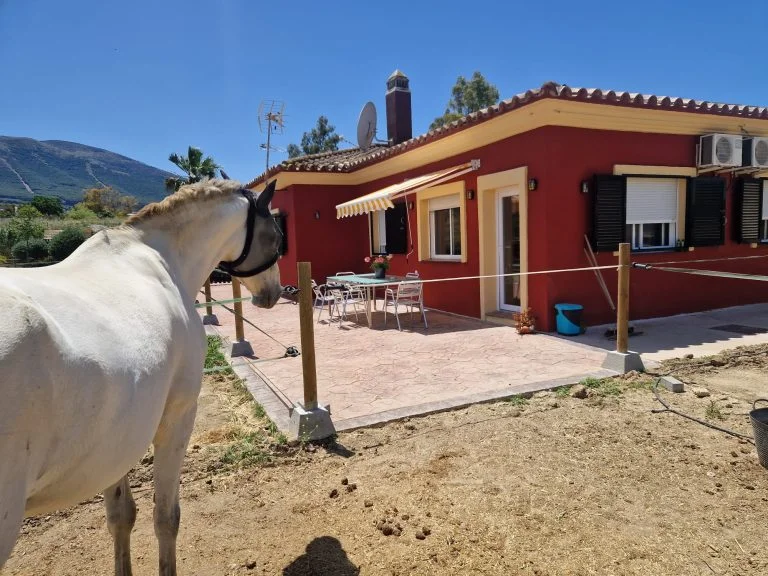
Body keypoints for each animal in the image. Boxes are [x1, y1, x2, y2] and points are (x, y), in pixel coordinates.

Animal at [0, 178, 282, 575]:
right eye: (276, 235)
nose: (274, 292)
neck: (159, 259)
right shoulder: (176, 418)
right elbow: (166, 517)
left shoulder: (118, 437)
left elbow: (121, 516)